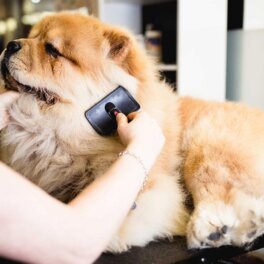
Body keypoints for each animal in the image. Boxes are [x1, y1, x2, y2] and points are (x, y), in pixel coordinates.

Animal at [0, 12, 264, 252]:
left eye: (52, 50)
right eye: (31, 36)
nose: (10, 44)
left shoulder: (152, 191)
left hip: (203, 143)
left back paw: (212, 229)